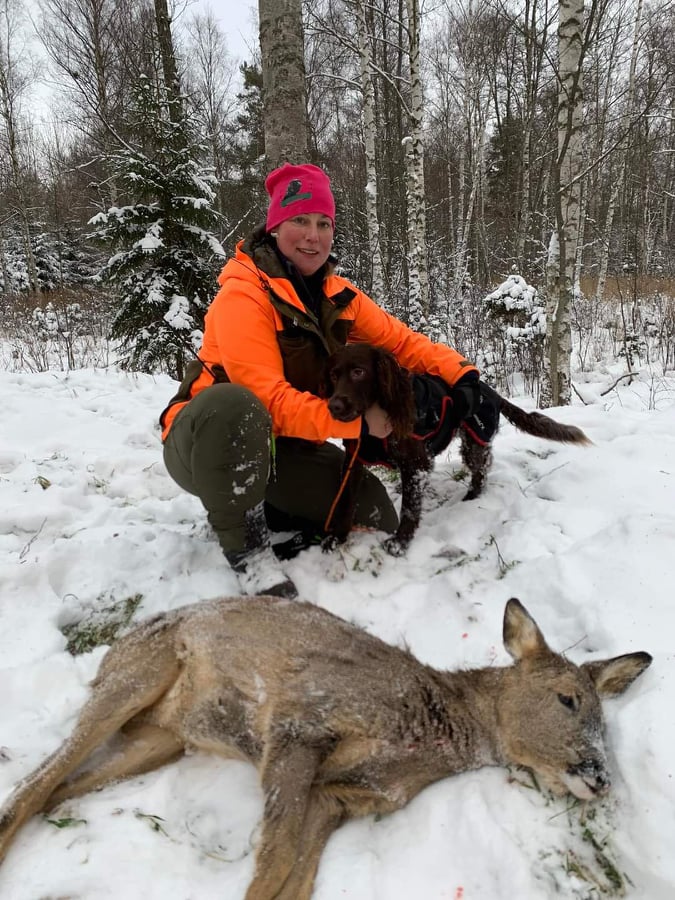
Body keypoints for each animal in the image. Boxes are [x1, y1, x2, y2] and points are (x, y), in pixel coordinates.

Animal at [0, 596, 650, 900]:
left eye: (606, 723)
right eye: (568, 699)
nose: (599, 777)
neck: (436, 726)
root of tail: (116, 648)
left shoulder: (343, 796)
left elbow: (295, 877)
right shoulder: (302, 721)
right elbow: (274, 862)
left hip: (161, 742)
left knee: (58, 787)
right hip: (137, 674)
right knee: (32, 781)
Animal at [322, 343, 591, 555]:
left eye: (359, 372)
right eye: (333, 375)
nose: (334, 407)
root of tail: (489, 390)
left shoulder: (416, 465)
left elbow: (409, 508)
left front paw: (400, 543)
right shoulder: (354, 460)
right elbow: (345, 501)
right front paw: (337, 537)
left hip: (474, 442)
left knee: (481, 472)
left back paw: (471, 498)